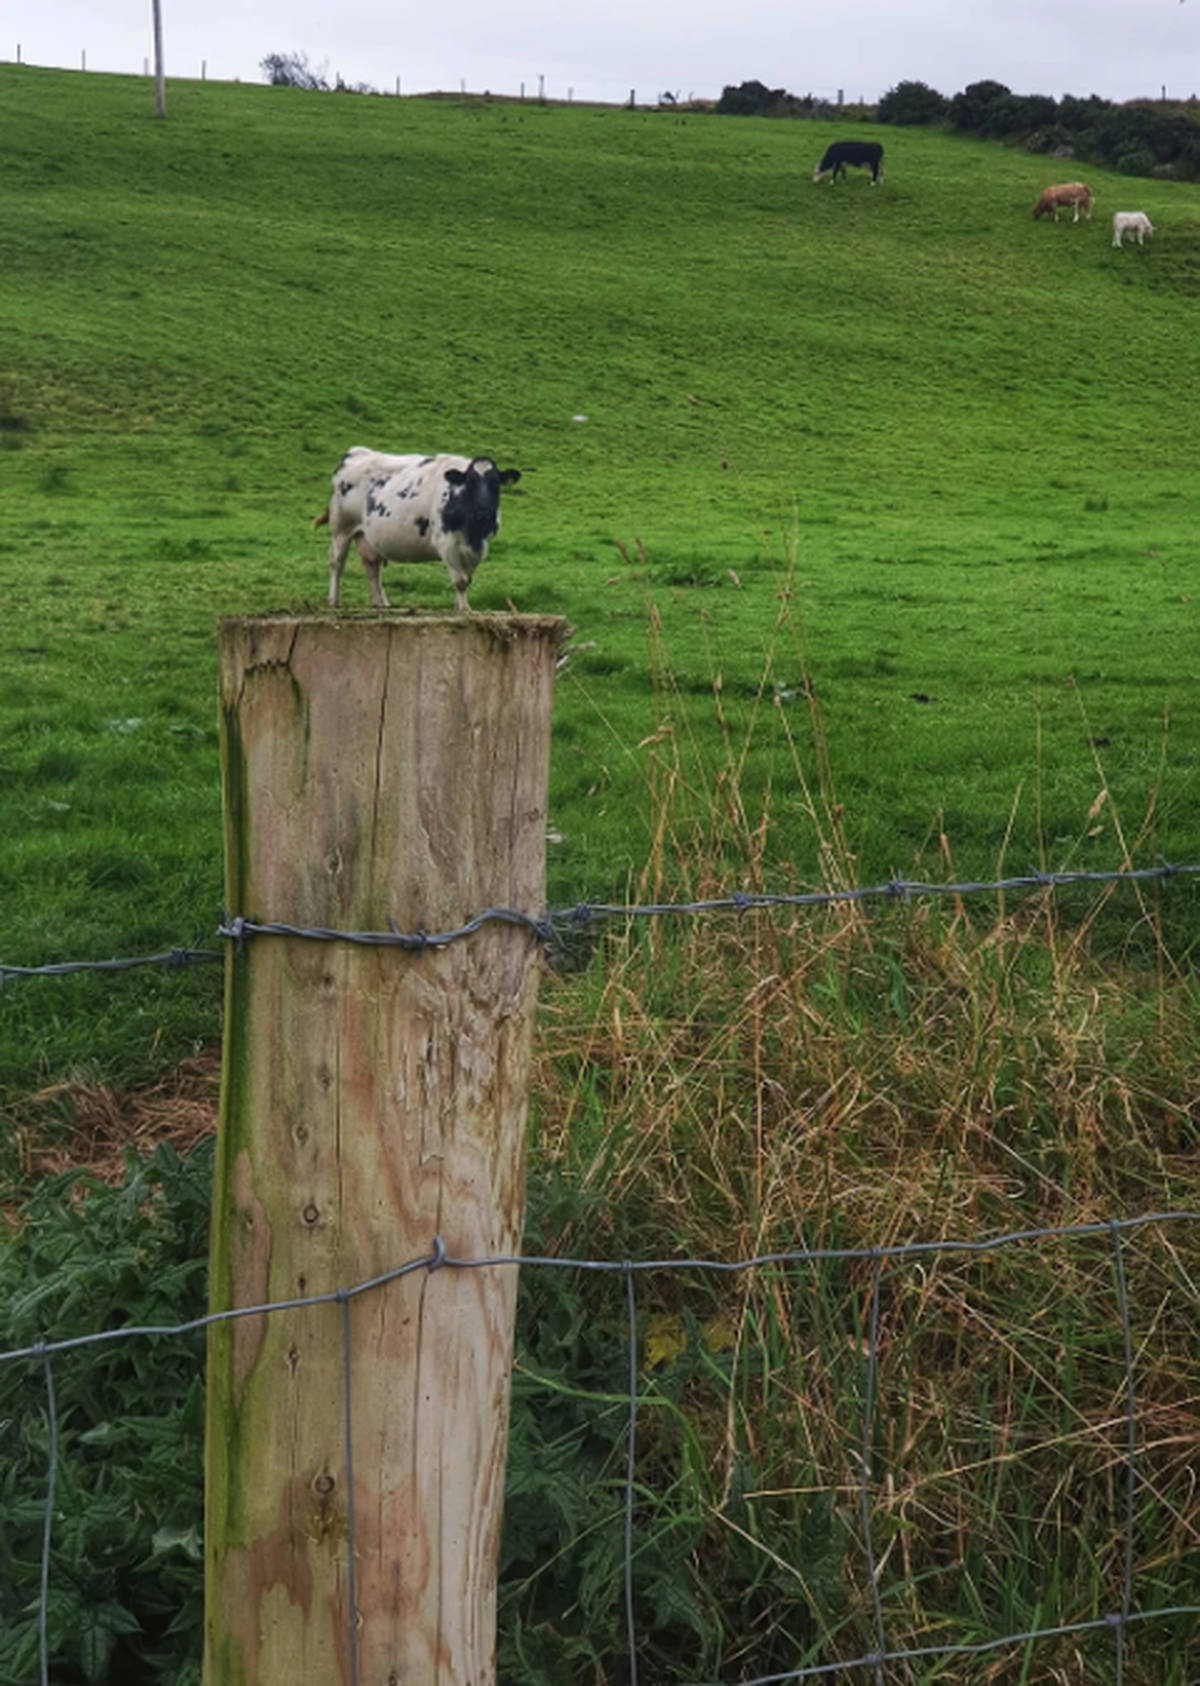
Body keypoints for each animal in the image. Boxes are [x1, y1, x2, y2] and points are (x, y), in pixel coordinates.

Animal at [315, 448, 521, 612]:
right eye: (469, 483)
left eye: (496, 484)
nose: (484, 513)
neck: (473, 531)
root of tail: (356, 452)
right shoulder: (446, 542)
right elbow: (460, 581)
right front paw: (464, 609)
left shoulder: (480, 545)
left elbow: (467, 578)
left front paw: (458, 606)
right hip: (341, 528)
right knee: (336, 562)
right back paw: (334, 601)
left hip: (365, 535)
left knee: (372, 566)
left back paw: (380, 603)